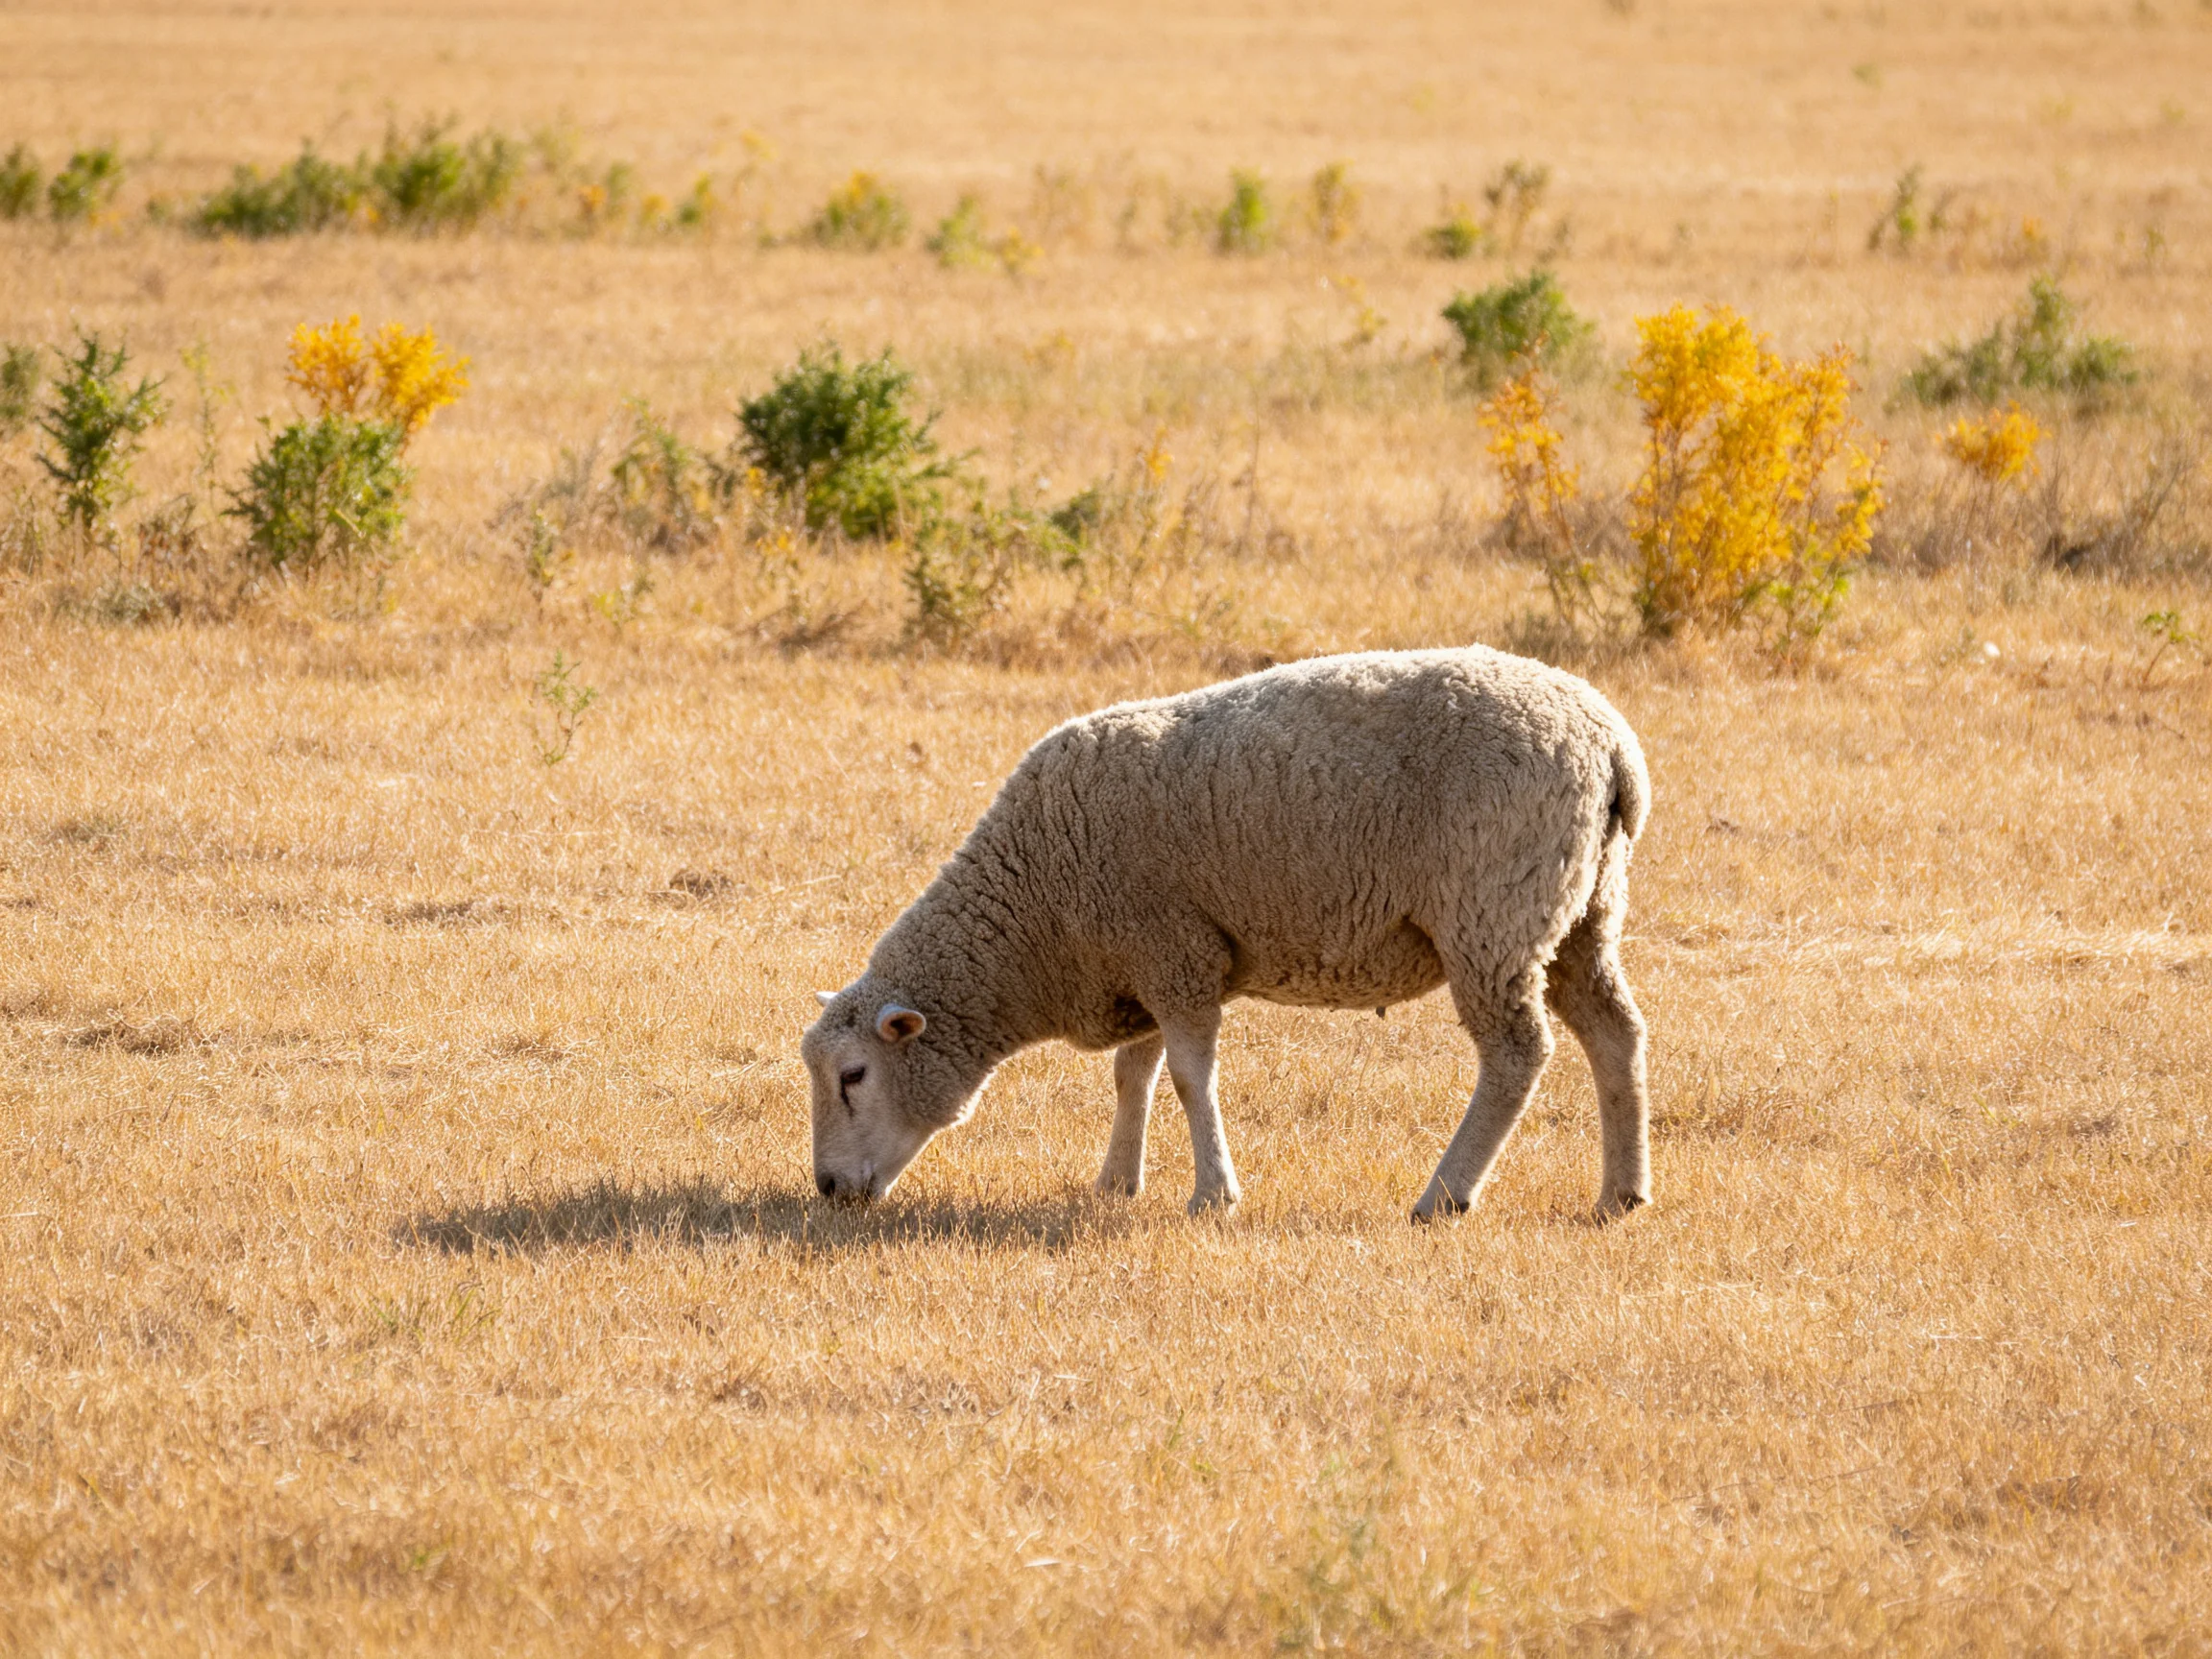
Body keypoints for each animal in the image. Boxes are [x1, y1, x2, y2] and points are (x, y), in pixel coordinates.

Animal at [801, 645, 1652, 1223]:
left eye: (853, 1076)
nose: (829, 1188)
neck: (1036, 906)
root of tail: (1610, 744)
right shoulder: (1144, 955)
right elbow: (1134, 1075)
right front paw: (1117, 1181)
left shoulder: (1173, 950)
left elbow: (1187, 1078)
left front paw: (1213, 1194)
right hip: (1581, 911)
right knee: (1615, 1033)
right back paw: (1623, 1192)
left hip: (1493, 912)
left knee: (1516, 1054)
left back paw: (1445, 1195)